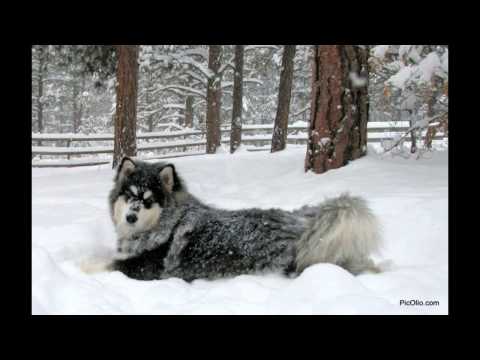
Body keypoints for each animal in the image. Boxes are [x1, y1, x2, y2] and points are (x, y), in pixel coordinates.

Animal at [82, 157, 382, 282]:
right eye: (129, 195)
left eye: (148, 200)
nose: (131, 217)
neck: (165, 226)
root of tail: (305, 221)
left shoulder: (147, 268)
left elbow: (106, 264)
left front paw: (79, 265)